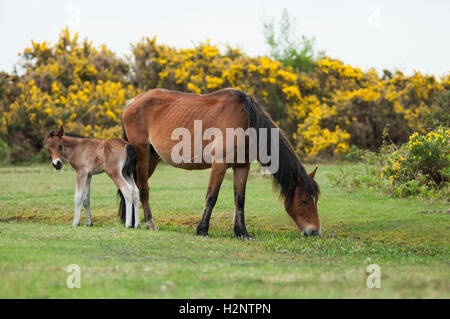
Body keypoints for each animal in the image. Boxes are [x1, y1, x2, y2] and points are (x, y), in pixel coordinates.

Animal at [120, 87, 320, 238]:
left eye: (315, 200)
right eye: (303, 200)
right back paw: (150, 223)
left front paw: (241, 232)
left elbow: (240, 199)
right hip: (142, 154)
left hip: (152, 158)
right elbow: (211, 196)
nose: (315, 232)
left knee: (133, 186)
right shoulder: (220, 164)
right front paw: (202, 230)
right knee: (142, 188)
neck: (247, 122)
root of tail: (133, 102)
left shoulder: (242, 166)